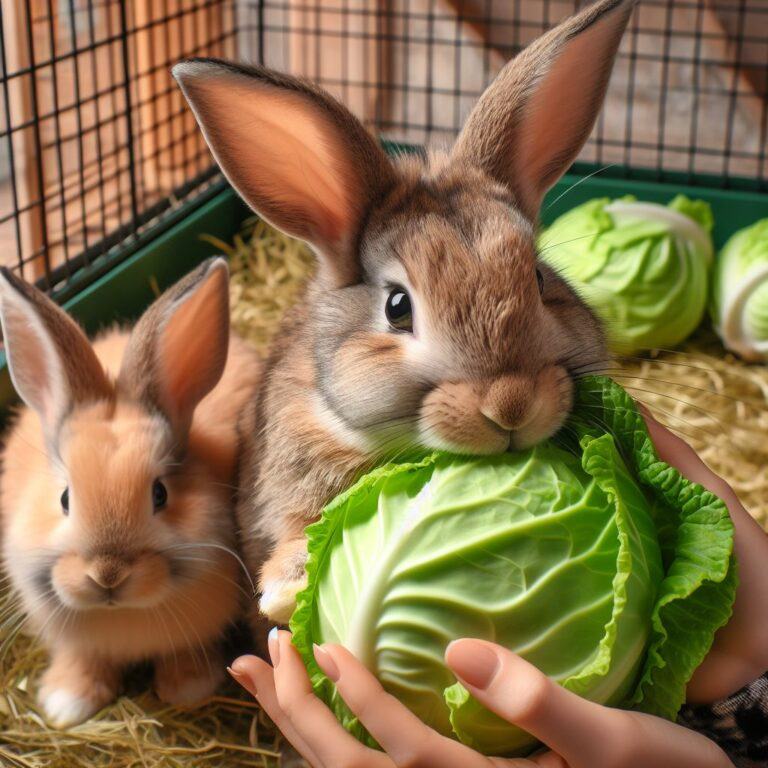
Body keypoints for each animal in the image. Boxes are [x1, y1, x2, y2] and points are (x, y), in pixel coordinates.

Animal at [0, 258, 260, 728]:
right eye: (64, 499)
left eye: (160, 495)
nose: (107, 576)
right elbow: (83, 659)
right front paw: (66, 703)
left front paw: (189, 688)